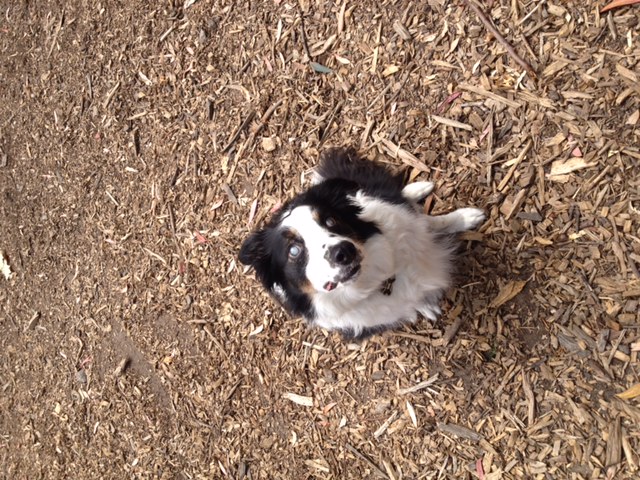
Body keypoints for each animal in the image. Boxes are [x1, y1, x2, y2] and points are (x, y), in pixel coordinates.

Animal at [240, 148, 484, 340]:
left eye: (330, 220)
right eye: (293, 250)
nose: (343, 252)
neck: (373, 280)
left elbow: (435, 223)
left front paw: (466, 217)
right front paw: (425, 306)